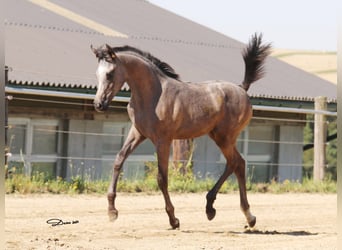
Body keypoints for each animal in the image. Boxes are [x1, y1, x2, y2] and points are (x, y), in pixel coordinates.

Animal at [91, 33, 272, 230]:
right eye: (97, 74)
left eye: (109, 74)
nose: (99, 104)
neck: (153, 94)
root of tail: (242, 88)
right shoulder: (137, 133)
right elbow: (118, 161)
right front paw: (112, 211)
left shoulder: (163, 140)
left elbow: (161, 178)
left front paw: (174, 219)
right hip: (218, 136)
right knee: (235, 164)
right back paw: (217, 210)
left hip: (225, 138)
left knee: (237, 163)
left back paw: (244, 215)